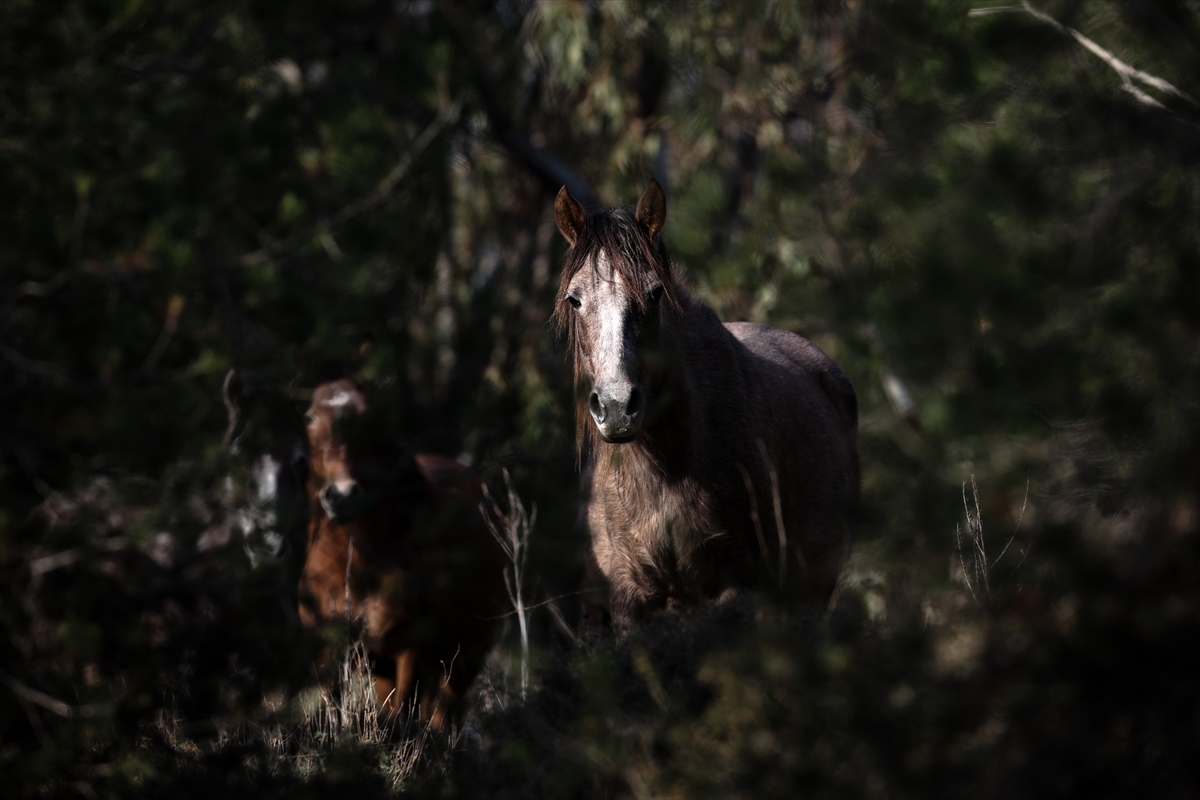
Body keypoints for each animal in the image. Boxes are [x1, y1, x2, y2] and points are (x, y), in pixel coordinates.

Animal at [302, 379, 508, 729]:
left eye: (372, 421)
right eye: (311, 418)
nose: (342, 495)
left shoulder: (411, 652)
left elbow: (404, 716)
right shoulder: (331, 652)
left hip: (463, 661)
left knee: (443, 714)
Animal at [556, 181, 859, 633]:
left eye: (655, 293)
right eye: (575, 300)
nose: (616, 406)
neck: (665, 468)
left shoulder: (728, 588)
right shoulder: (629, 598)